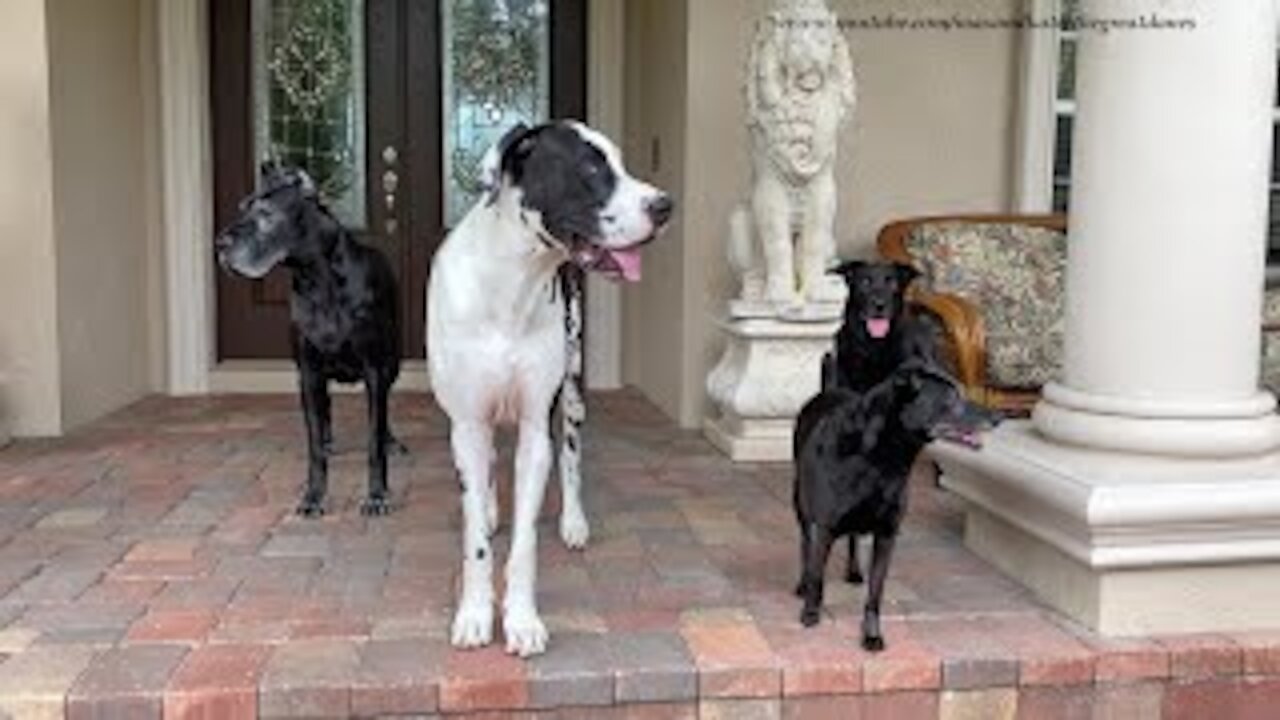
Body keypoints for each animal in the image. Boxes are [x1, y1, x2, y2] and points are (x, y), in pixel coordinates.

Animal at [215, 162, 401, 515]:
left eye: (265, 213)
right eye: (242, 207)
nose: (219, 244)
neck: (318, 279)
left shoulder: (374, 369)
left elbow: (374, 439)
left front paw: (377, 495)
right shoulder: (309, 372)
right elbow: (313, 442)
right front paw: (313, 496)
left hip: (392, 363)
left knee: (384, 409)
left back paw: (392, 440)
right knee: (325, 411)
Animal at [788, 358, 988, 650]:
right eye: (951, 399)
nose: (1000, 418)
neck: (881, 458)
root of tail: (829, 388)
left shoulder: (887, 534)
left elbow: (875, 592)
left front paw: (872, 634)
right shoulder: (824, 526)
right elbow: (817, 573)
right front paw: (811, 612)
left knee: (852, 538)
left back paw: (854, 571)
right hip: (800, 503)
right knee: (805, 543)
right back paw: (803, 583)